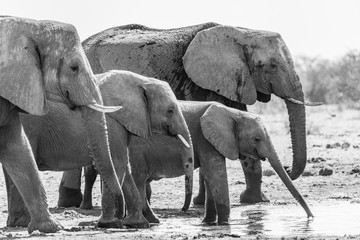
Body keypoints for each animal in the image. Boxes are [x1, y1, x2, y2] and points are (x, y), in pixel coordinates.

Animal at [16, 70, 193, 228]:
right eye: (170, 111)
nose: (183, 211)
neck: (140, 80)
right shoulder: (112, 123)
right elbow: (117, 162)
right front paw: (111, 224)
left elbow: (124, 166)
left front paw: (138, 224)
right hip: (31, 128)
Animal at [72, 100, 312, 224]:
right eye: (257, 139)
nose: (311, 218)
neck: (232, 113)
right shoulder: (205, 138)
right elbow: (215, 171)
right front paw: (225, 224)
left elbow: (210, 174)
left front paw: (209, 223)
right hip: (135, 151)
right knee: (138, 180)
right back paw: (150, 220)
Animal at [80, 23, 316, 204]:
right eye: (271, 66)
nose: (287, 167)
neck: (242, 32)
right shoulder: (199, 82)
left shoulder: (233, 81)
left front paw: (254, 201)